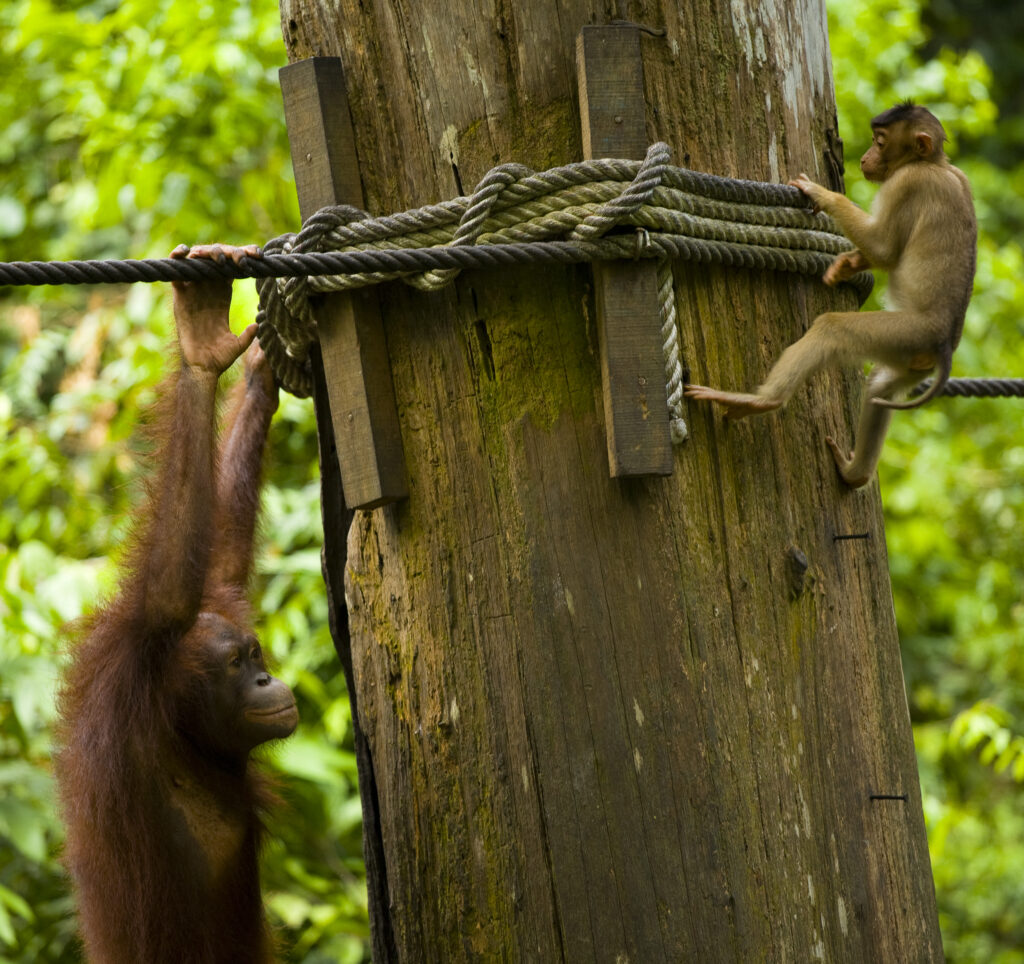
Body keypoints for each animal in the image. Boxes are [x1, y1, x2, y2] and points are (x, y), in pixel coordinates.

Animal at [684, 102, 977, 487]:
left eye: (879, 141)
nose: (865, 157)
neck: (935, 164)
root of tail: (944, 348)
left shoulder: (907, 183)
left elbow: (885, 250)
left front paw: (823, 195)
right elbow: (881, 252)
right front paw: (847, 265)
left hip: (908, 332)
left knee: (832, 329)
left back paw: (762, 402)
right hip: (911, 355)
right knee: (879, 389)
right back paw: (856, 473)